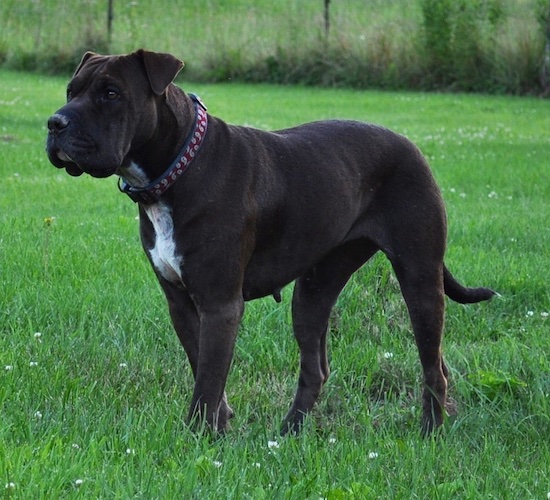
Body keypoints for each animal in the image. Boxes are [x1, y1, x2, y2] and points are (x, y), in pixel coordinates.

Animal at [46, 48, 496, 436]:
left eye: (111, 93)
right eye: (70, 91)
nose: (54, 123)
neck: (177, 169)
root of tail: (412, 146)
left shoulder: (220, 304)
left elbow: (208, 380)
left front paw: (197, 439)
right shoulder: (182, 302)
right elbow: (204, 369)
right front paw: (219, 428)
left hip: (419, 276)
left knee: (433, 365)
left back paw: (430, 432)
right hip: (314, 290)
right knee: (316, 368)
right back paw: (288, 435)